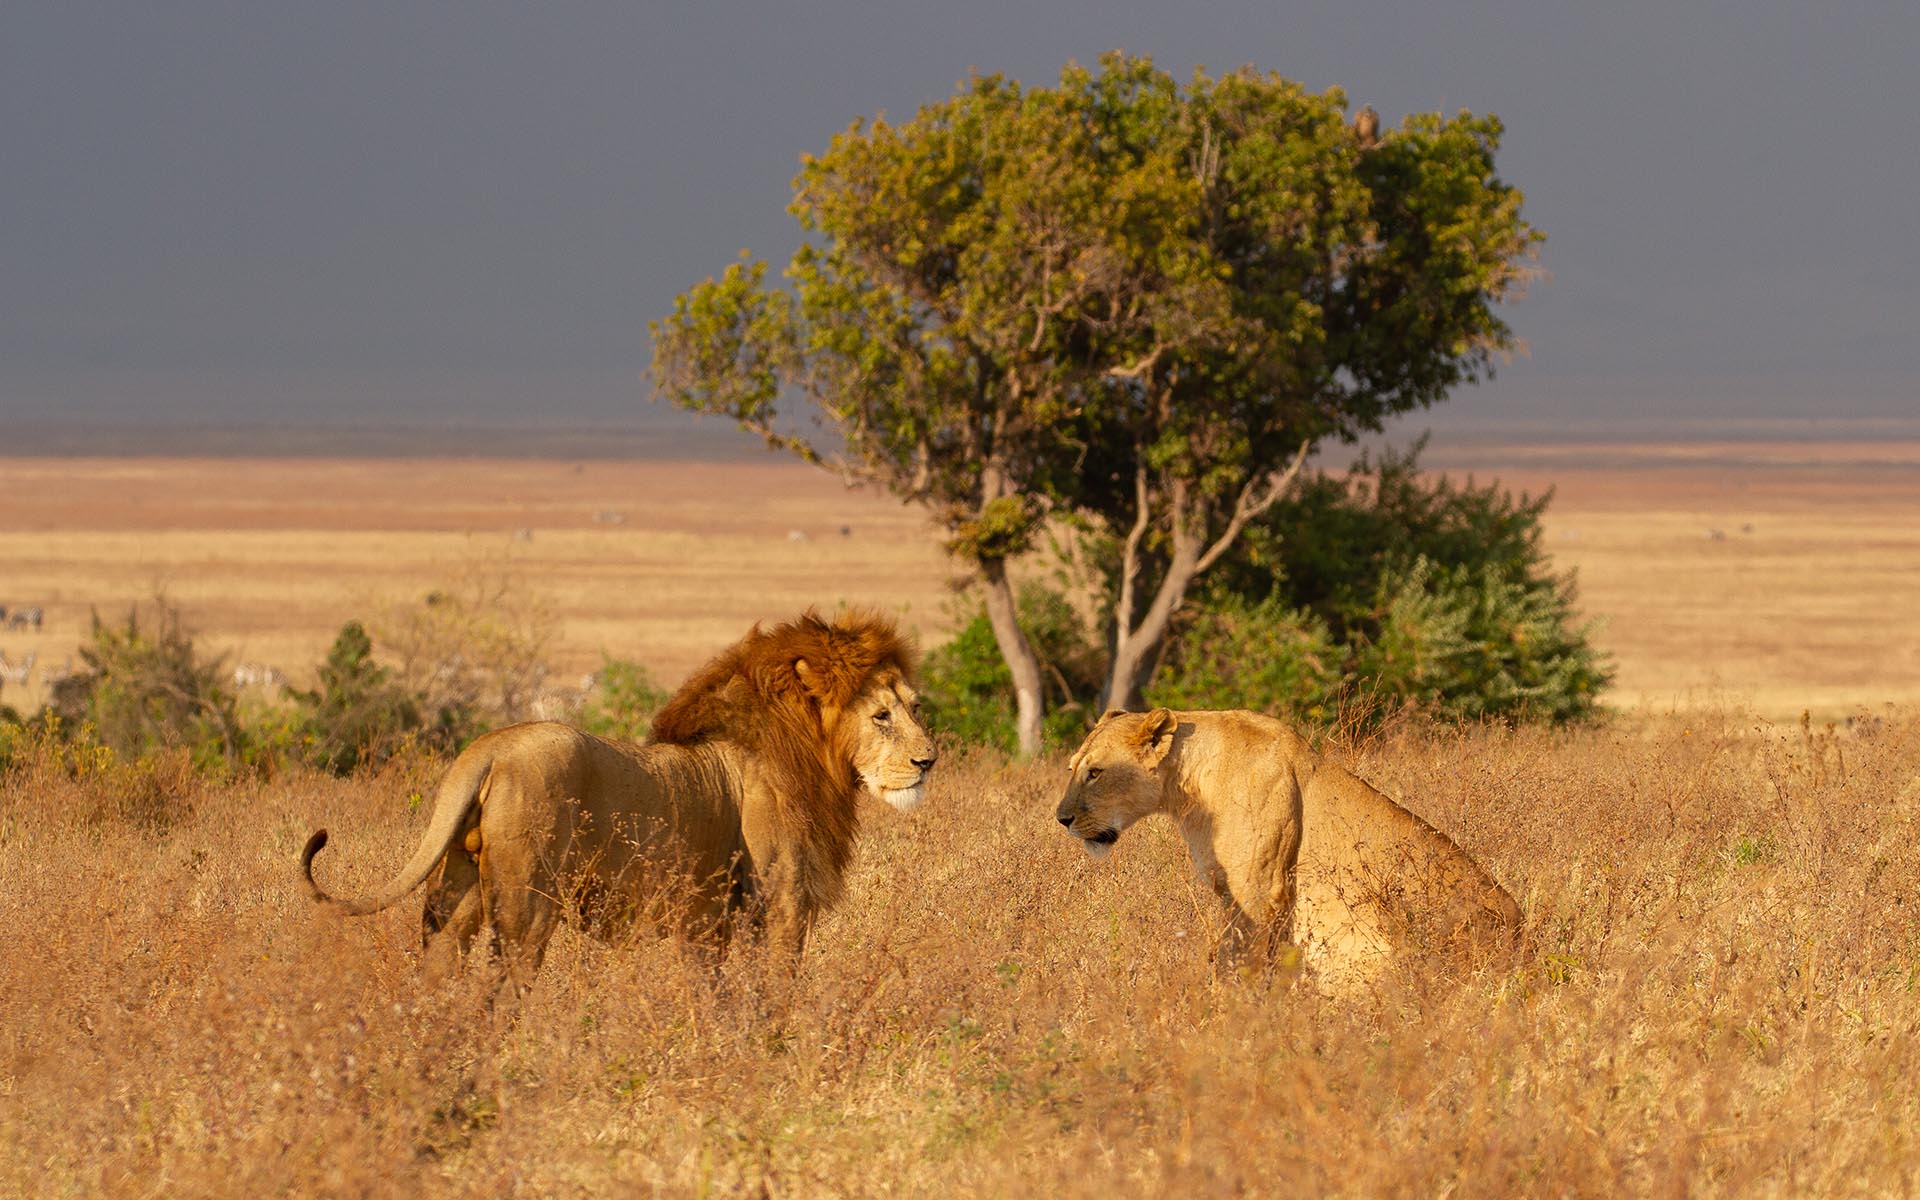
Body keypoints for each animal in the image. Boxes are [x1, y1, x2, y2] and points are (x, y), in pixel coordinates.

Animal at [301, 611, 936, 991]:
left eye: (914, 706)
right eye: (881, 716)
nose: (928, 760)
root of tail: (489, 749)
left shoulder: (705, 922)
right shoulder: (780, 902)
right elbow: (773, 993)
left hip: (456, 891)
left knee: (437, 976)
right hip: (529, 905)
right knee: (500, 989)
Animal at [1055, 708, 1520, 991]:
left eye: (1095, 773)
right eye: (1073, 769)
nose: (1061, 819)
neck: (1187, 786)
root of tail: (1524, 943)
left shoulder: (1258, 890)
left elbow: (1236, 962)